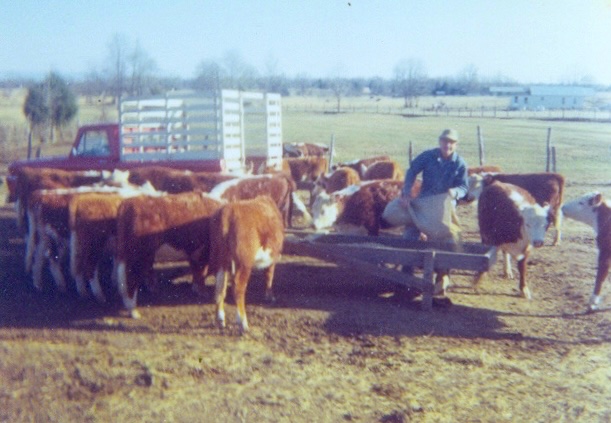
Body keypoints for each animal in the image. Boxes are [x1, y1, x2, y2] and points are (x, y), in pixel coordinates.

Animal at [203, 198, 284, 334]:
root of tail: (227, 210)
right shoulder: (273, 256)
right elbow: (269, 274)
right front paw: (269, 296)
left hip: (220, 257)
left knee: (220, 285)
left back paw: (220, 319)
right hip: (244, 262)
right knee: (238, 287)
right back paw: (243, 323)